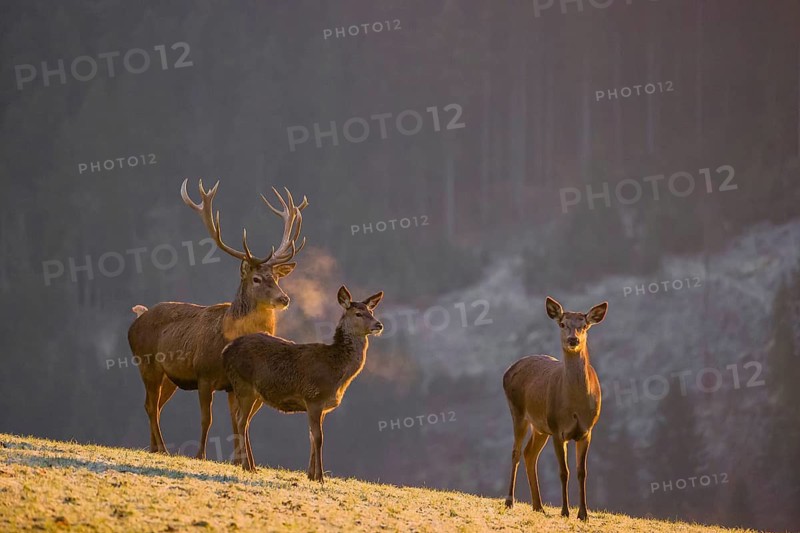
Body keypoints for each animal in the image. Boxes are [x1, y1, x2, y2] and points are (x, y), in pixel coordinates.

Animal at [127, 178, 307, 465]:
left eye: (277, 278)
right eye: (256, 279)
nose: (284, 298)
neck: (227, 337)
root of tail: (137, 318)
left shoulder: (232, 384)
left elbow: (237, 422)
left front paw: (239, 461)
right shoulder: (204, 374)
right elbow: (207, 419)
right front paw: (201, 455)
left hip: (169, 377)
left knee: (153, 405)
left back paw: (155, 448)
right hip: (147, 363)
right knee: (150, 405)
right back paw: (163, 448)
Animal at [222, 285, 383, 480]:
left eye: (371, 311)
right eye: (358, 313)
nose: (379, 325)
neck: (337, 373)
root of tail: (226, 350)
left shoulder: (323, 406)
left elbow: (312, 436)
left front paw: (310, 474)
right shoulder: (314, 397)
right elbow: (318, 437)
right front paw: (320, 477)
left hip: (257, 395)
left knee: (245, 422)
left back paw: (252, 466)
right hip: (243, 384)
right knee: (240, 421)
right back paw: (247, 465)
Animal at [502, 296, 608, 521]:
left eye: (584, 325)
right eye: (562, 324)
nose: (573, 340)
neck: (575, 406)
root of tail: (509, 370)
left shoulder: (586, 431)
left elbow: (581, 472)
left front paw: (584, 514)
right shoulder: (558, 430)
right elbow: (564, 472)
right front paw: (565, 511)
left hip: (540, 427)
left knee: (529, 454)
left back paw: (538, 506)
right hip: (519, 412)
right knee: (516, 452)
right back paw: (509, 501)